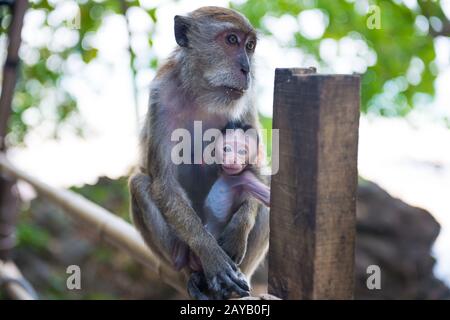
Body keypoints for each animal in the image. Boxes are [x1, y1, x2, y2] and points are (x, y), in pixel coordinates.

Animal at [128, 5, 268, 300]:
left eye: (249, 46)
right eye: (231, 40)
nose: (247, 69)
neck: (204, 95)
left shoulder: (247, 100)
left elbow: (257, 172)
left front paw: (239, 229)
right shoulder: (159, 97)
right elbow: (165, 184)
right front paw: (210, 253)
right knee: (140, 183)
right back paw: (191, 274)